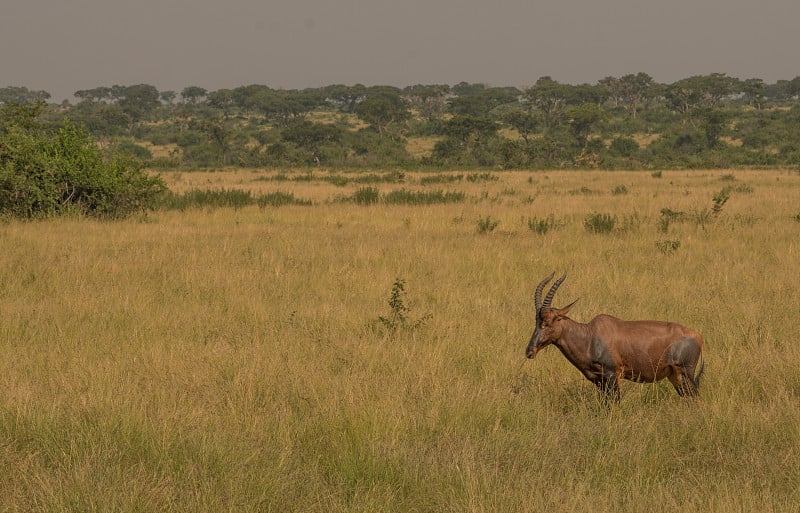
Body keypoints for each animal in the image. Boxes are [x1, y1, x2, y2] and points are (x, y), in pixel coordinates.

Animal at [528, 272, 704, 400]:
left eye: (548, 321)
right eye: (536, 320)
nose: (529, 351)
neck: (590, 336)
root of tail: (698, 336)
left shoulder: (613, 375)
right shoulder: (599, 381)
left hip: (685, 373)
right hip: (674, 376)